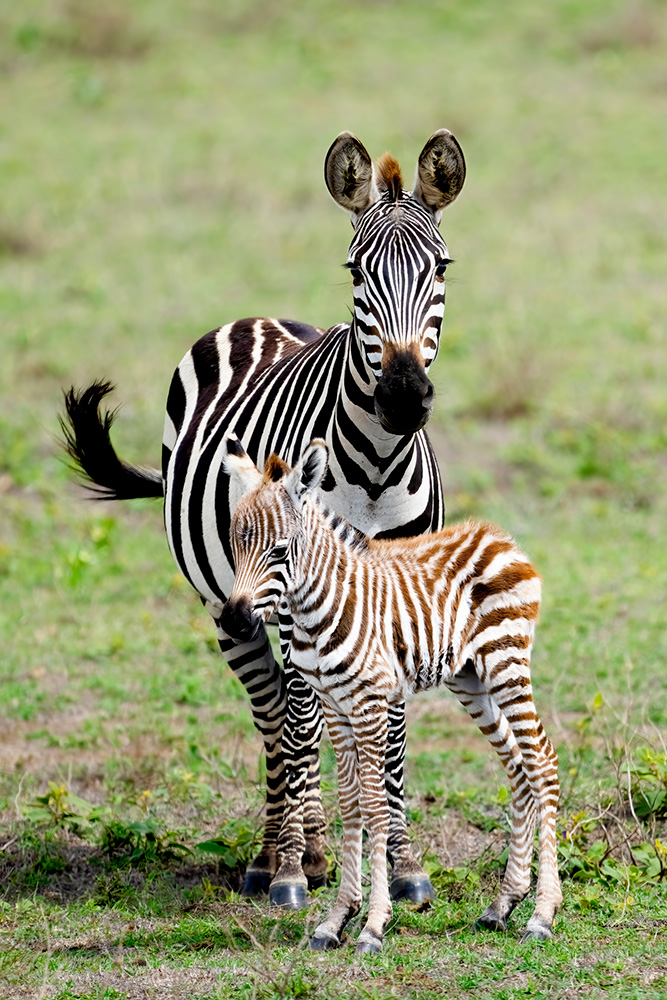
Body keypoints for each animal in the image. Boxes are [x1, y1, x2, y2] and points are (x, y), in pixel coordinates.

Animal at [64, 129, 464, 912]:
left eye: (440, 268)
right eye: (357, 271)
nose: (403, 398)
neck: (375, 466)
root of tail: (252, 319)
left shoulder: (396, 594)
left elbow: (393, 732)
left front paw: (400, 862)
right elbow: (301, 721)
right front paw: (287, 872)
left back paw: (314, 848)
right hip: (229, 604)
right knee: (279, 710)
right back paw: (277, 855)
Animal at [222, 442, 560, 956]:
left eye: (279, 550)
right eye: (235, 546)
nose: (236, 621)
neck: (318, 608)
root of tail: (499, 536)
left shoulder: (369, 704)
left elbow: (377, 807)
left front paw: (373, 924)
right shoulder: (334, 708)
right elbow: (350, 806)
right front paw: (335, 920)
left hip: (507, 664)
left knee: (542, 762)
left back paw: (542, 914)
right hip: (470, 679)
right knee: (518, 768)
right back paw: (503, 905)